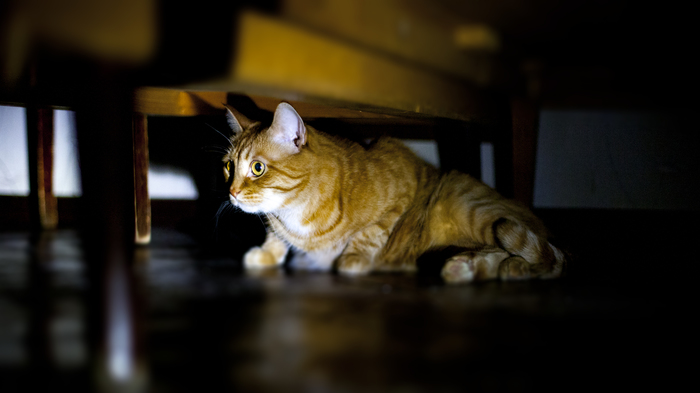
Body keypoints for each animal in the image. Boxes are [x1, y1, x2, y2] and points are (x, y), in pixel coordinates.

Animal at [221, 102, 568, 282]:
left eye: (257, 168)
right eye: (228, 167)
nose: (232, 193)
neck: (295, 211)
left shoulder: (400, 194)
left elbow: (370, 233)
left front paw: (353, 259)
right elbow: (276, 236)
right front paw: (267, 252)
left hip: (470, 207)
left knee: (552, 258)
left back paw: (513, 266)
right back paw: (466, 266)